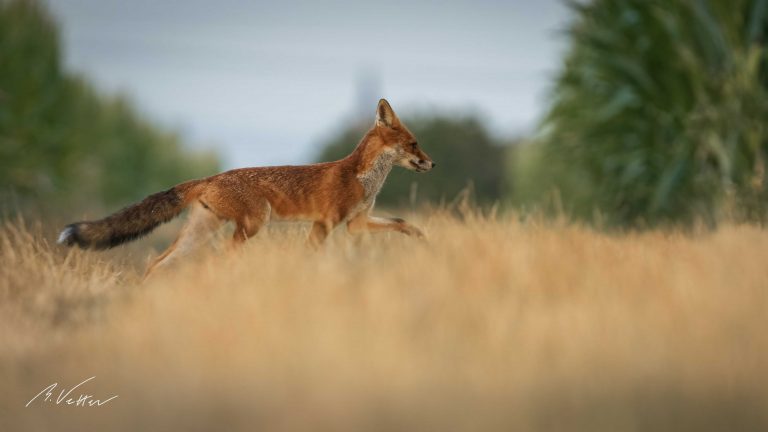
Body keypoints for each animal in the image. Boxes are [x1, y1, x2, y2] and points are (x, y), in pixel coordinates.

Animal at [57, 98, 436, 276]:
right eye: (414, 144)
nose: (433, 164)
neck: (362, 178)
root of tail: (210, 178)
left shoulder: (355, 223)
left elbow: (402, 223)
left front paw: (426, 242)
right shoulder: (326, 222)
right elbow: (310, 255)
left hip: (203, 232)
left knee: (158, 263)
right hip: (252, 225)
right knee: (218, 260)